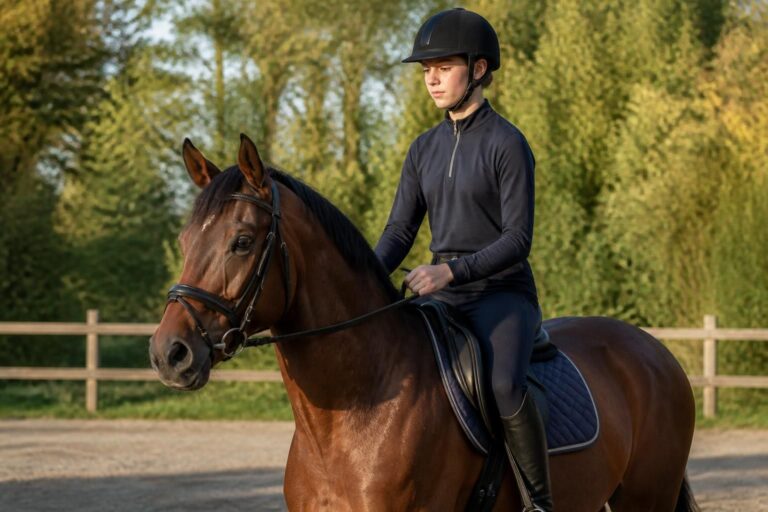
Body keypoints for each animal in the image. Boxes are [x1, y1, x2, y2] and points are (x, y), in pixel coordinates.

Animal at [149, 134, 699, 511]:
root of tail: (655, 352)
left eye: (241, 241)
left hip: (646, 498)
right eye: (183, 240)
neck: (355, 410)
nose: (168, 353)